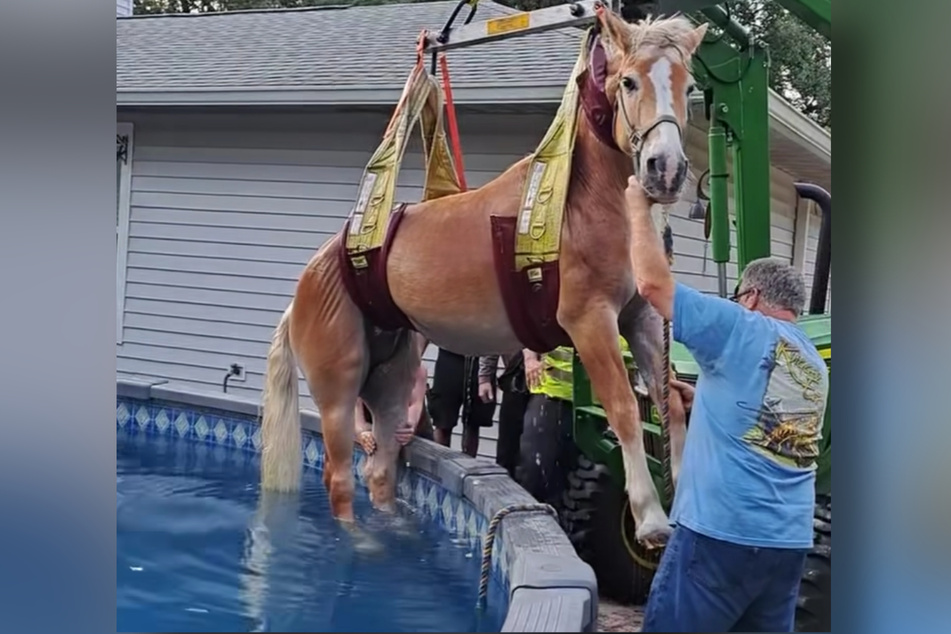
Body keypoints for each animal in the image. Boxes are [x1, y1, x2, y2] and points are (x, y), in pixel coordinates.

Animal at [260, 6, 708, 548]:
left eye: (688, 86)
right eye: (628, 81)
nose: (666, 169)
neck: (578, 200)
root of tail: (312, 276)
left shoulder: (640, 318)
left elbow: (673, 403)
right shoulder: (590, 320)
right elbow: (623, 407)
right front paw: (650, 518)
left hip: (390, 379)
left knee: (379, 469)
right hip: (338, 387)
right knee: (340, 476)